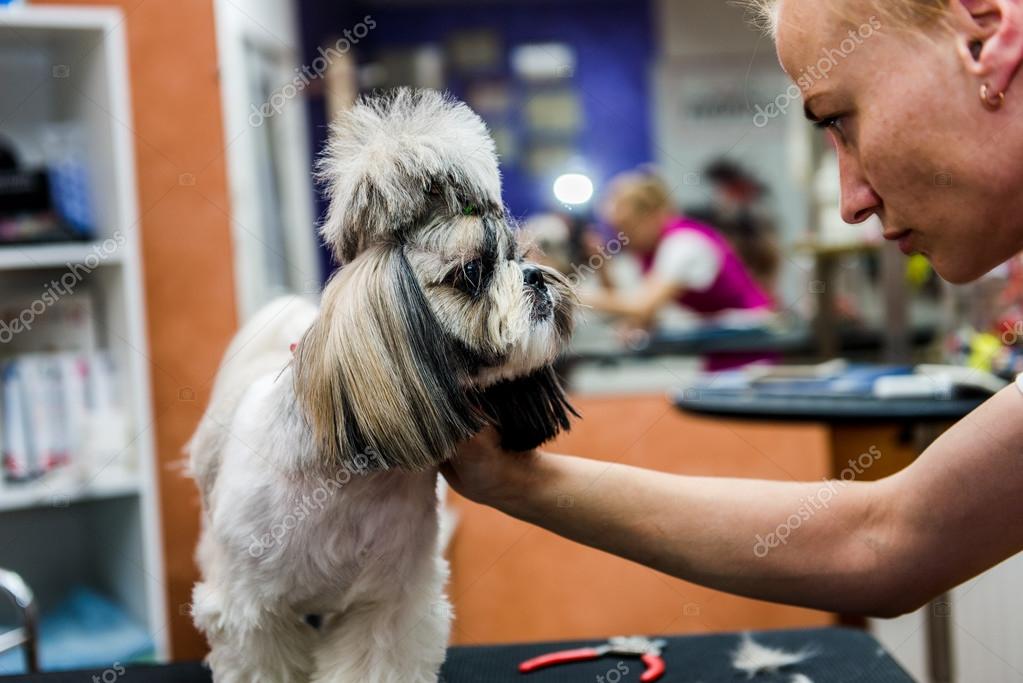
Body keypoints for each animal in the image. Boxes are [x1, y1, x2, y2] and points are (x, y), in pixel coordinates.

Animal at [189, 87, 581, 678]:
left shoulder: (386, 609)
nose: (536, 277)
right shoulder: (252, 615)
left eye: (518, 257)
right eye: (472, 272)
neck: (349, 483)